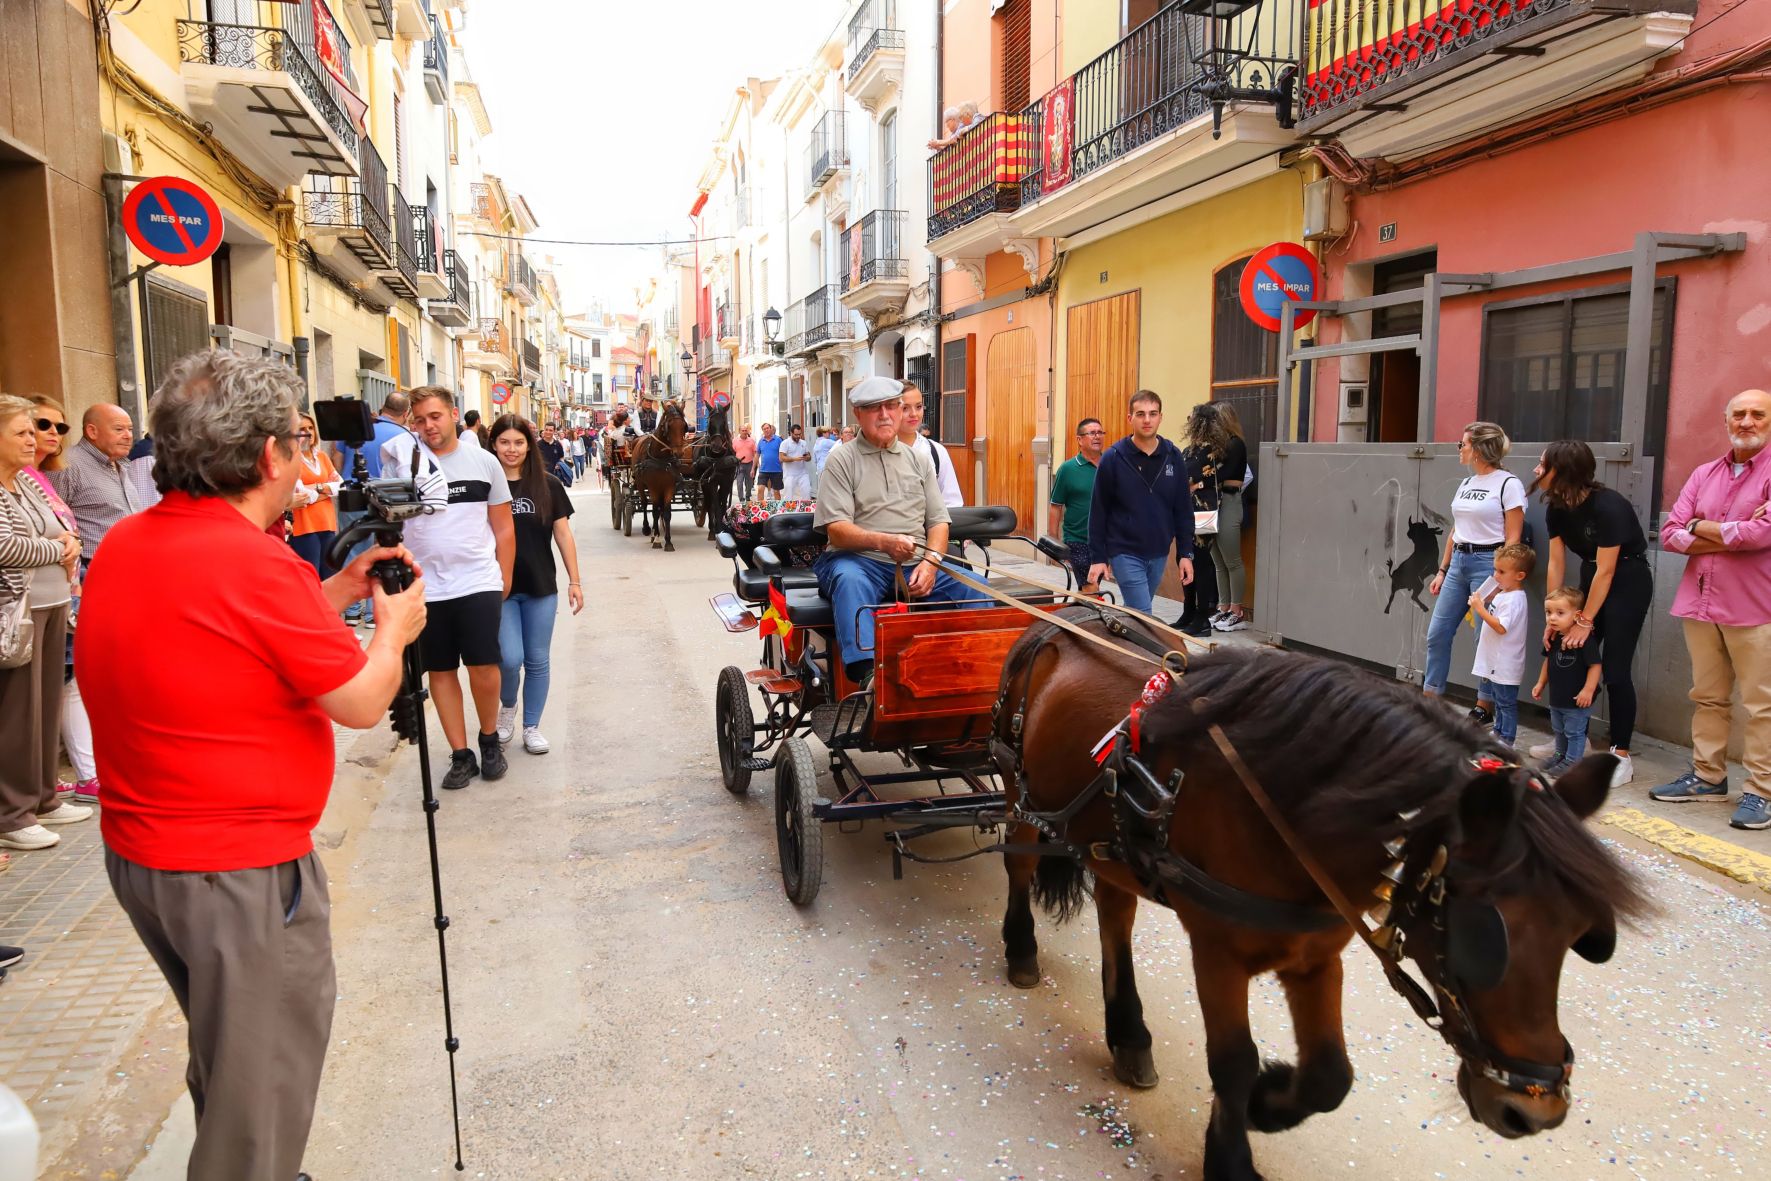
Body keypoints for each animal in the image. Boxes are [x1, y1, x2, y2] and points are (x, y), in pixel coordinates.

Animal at [998, 616, 1643, 1175]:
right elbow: (1232, 1063)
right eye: (1485, 937)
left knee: (1116, 915)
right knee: (1019, 865)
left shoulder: (1315, 954)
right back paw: (1021, 950)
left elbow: (1331, 1076)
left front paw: (1268, 1102)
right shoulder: (1217, 951)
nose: (1534, 1108)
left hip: (1110, 848)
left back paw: (1129, 1034)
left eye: (1579, 934)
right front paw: (1233, 1156)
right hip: (1020, 794)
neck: (1278, 808)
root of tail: (1062, 620)